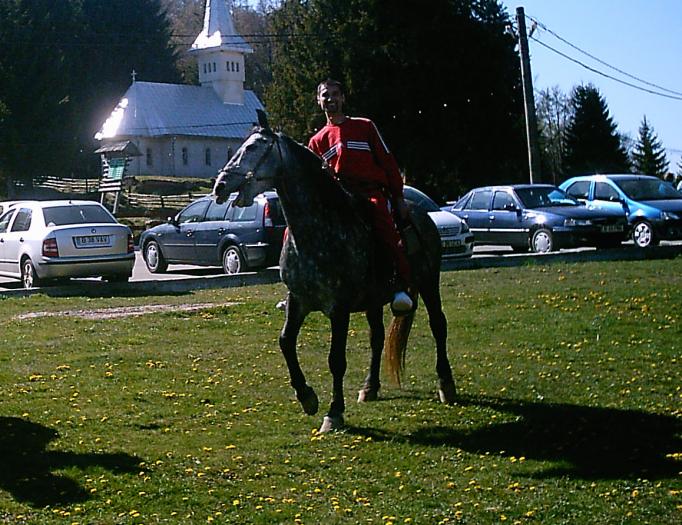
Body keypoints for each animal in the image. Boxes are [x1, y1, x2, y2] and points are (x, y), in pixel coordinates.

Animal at [212, 112, 454, 432]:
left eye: (253, 147)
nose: (220, 186)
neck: (318, 231)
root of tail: (421, 213)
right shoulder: (298, 301)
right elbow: (285, 342)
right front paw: (306, 396)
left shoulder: (338, 308)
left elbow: (336, 359)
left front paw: (334, 411)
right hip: (374, 300)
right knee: (377, 337)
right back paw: (370, 387)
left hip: (428, 281)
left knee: (438, 325)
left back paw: (446, 385)